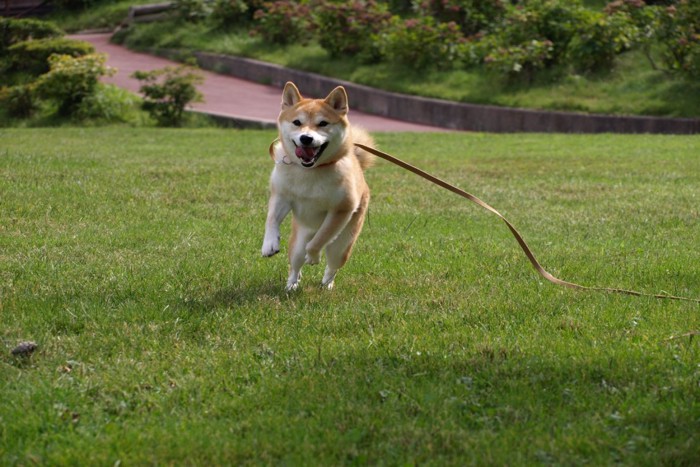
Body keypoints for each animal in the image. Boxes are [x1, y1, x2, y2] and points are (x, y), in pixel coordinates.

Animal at [262, 82, 374, 290]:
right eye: (297, 122)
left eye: (323, 123)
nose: (306, 138)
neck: (310, 171)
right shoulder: (281, 195)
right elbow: (271, 219)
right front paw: (269, 244)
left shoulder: (341, 210)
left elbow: (320, 239)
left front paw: (314, 257)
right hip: (298, 240)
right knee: (296, 263)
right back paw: (292, 285)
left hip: (342, 245)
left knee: (332, 264)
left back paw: (326, 284)